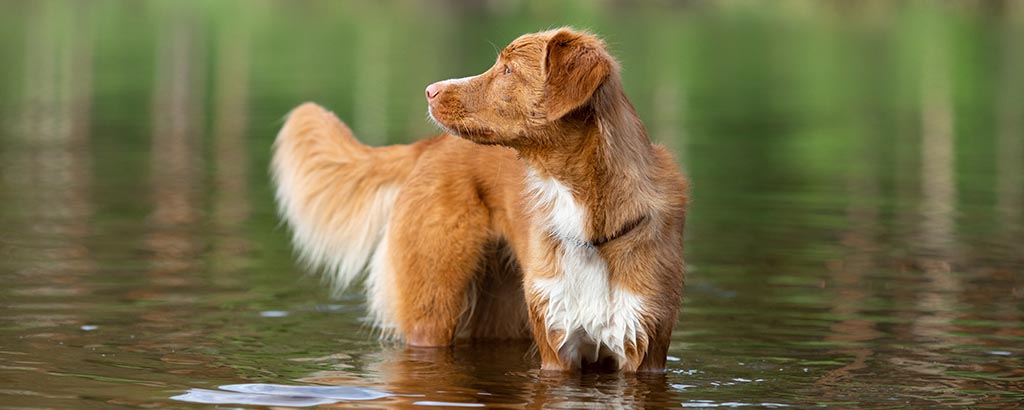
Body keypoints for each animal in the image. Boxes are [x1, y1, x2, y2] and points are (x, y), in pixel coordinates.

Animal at [270, 27, 688, 373]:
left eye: (507, 70)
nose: (430, 90)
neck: (587, 221)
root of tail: (428, 146)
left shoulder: (645, 348)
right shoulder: (557, 350)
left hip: (501, 313)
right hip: (433, 308)